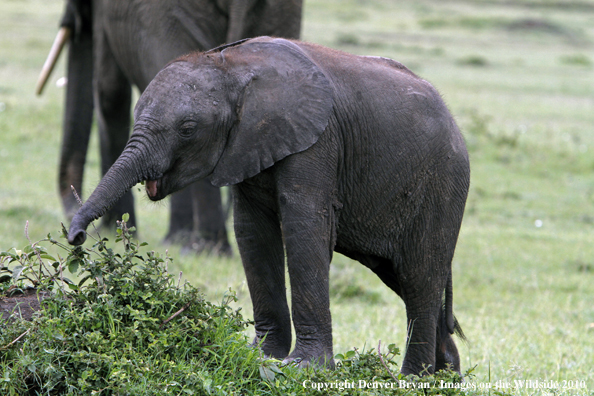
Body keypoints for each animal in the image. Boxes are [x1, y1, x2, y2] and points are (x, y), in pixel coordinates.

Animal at [67, 37, 470, 374]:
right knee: (403, 278)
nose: (75, 237)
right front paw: (261, 355)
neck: (231, 66)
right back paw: (447, 374)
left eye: (187, 129)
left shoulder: (316, 141)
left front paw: (304, 368)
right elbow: (252, 233)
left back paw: (414, 379)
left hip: (443, 184)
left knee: (419, 278)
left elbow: (304, 227)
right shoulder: (246, 147)